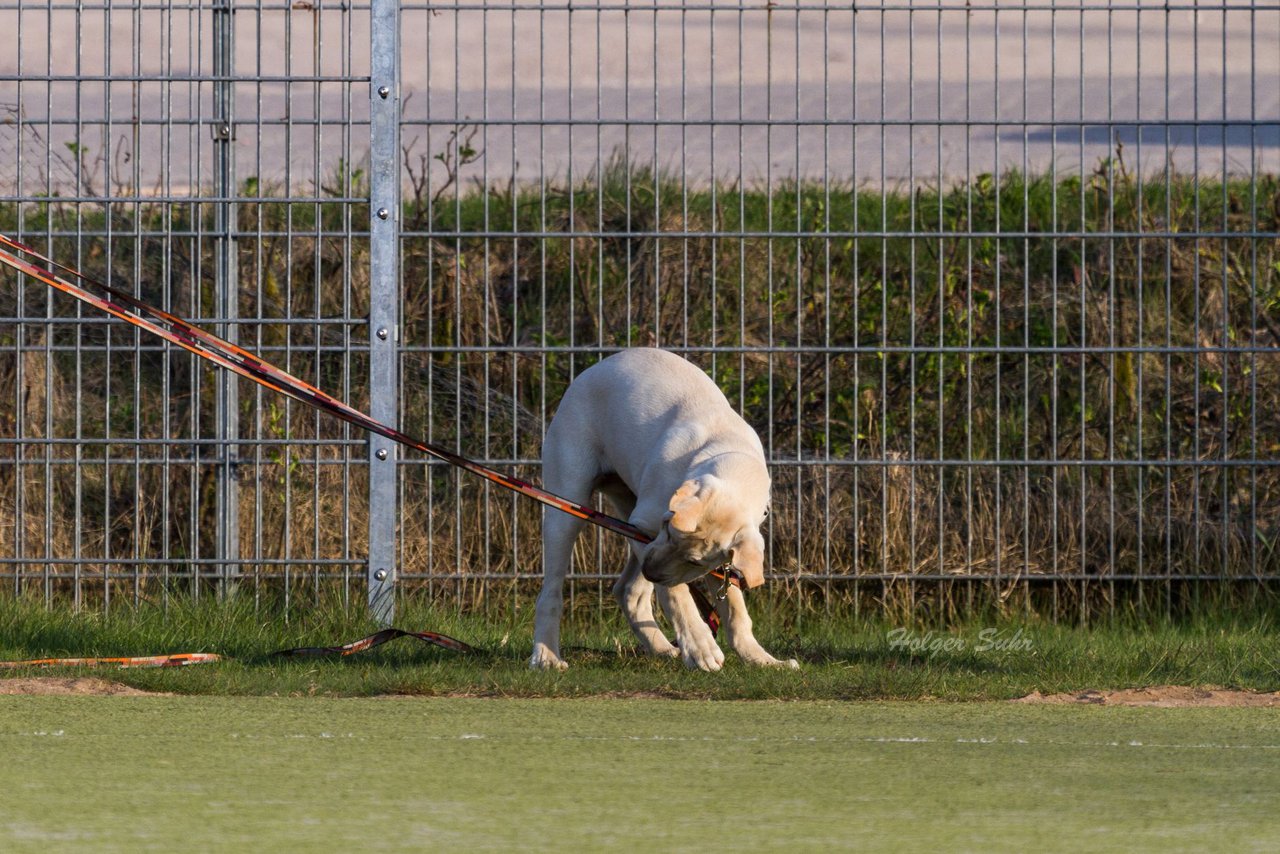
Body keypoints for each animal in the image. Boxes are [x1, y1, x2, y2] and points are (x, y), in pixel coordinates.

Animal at [524, 348, 793, 676]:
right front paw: (701, 648)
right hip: (569, 508)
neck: (730, 457)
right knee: (551, 592)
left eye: (695, 561)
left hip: (626, 514)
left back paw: (661, 648)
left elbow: (735, 608)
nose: (651, 572)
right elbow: (677, 595)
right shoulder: (645, 527)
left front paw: (762, 659)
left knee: (629, 591)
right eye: (667, 527)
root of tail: (598, 365)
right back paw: (546, 656)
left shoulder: (717, 561)